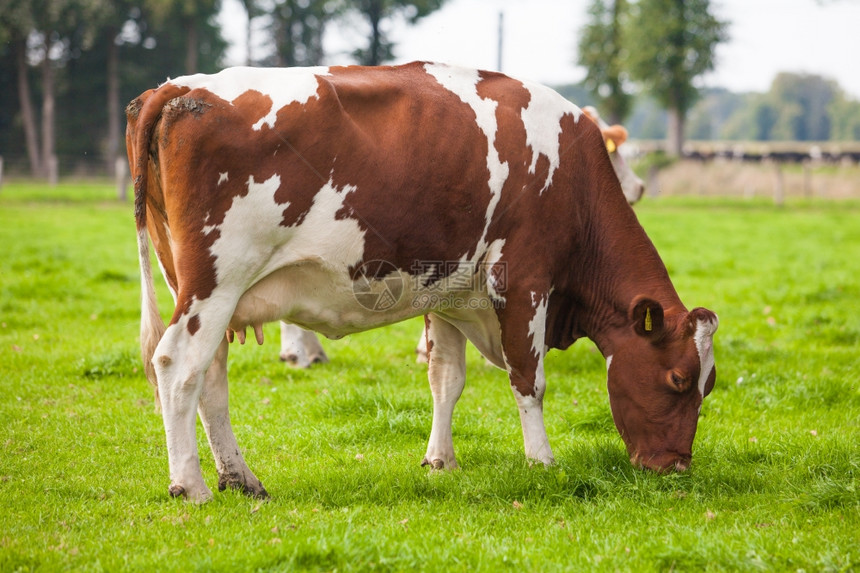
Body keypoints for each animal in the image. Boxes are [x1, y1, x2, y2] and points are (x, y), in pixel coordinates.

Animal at [127, 61, 716, 500]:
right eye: (679, 380)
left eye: (706, 387)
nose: (676, 467)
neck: (571, 172)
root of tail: (178, 87)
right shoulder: (524, 280)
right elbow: (529, 379)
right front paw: (542, 461)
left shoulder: (450, 291)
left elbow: (446, 379)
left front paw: (441, 459)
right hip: (217, 282)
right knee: (176, 364)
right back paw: (191, 485)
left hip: (200, 288)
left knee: (210, 378)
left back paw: (240, 477)